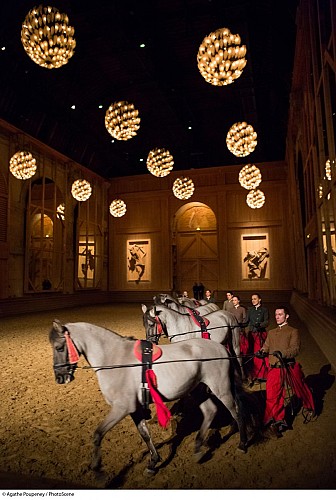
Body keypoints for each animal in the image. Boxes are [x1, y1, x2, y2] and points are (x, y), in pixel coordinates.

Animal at [50, 320, 249, 476]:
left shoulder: (121, 408)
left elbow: (98, 434)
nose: (60, 378)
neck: (114, 359)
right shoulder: (135, 409)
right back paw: (199, 448)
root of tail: (221, 348)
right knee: (210, 411)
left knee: (236, 411)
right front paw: (153, 463)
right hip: (197, 390)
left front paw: (96, 467)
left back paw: (242, 444)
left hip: (221, 388)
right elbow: (145, 434)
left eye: (59, 347)